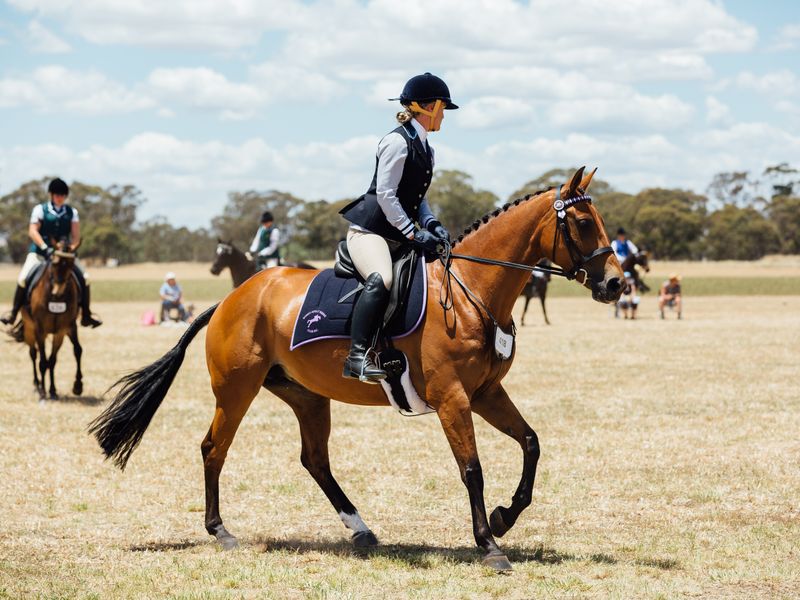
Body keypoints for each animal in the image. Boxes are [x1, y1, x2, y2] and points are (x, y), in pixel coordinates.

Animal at [11, 241, 84, 400]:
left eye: (71, 264)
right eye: (54, 263)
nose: (57, 292)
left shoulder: (62, 330)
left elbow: (53, 360)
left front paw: (57, 390)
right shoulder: (40, 330)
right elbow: (43, 361)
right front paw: (43, 392)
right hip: (30, 330)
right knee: (33, 354)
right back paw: (37, 385)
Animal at [90, 168, 624, 571]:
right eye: (581, 223)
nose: (617, 285)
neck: (471, 290)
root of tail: (232, 298)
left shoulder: (486, 393)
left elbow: (531, 443)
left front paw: (502, 519)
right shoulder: (453, 398)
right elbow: (472, 468)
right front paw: (490, 545)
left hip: (305, 395)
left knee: (314, 460)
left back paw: (361, 529)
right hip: (237, 390)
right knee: (213, 449)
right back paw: (221, 530)